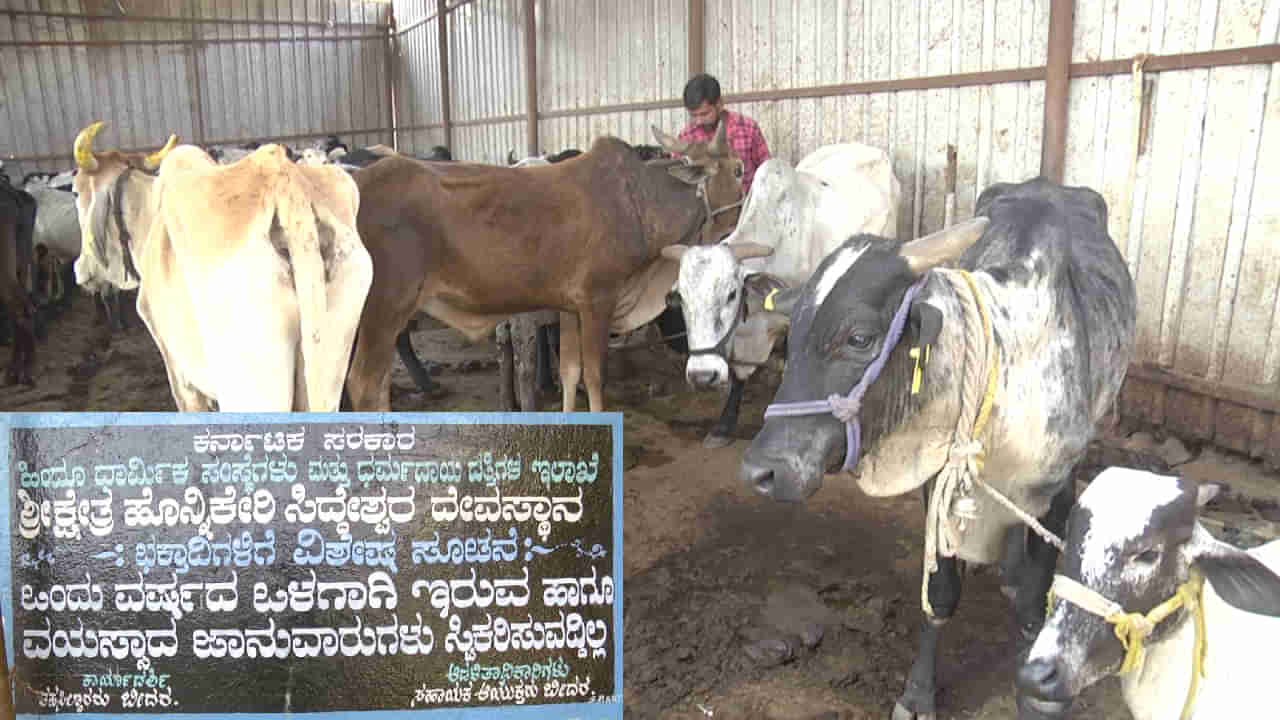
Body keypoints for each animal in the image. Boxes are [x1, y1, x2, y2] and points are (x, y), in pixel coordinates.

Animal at [345, 122, 747, 409]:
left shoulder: (569, 306)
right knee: (362, 384)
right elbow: (594, 376)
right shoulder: (598, 299)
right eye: (740, 170)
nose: (734, 230)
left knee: (378, 383)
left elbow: (570, 372)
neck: (637, 200)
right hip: (385, 307)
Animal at [742, 175, 1141, 717]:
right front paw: (918, 693)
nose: (761, 471)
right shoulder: (937, 485)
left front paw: (1039, 699)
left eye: (859, 337)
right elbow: (941, 593)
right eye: (792, 337)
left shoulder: (1057, 489)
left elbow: (1034, 606)